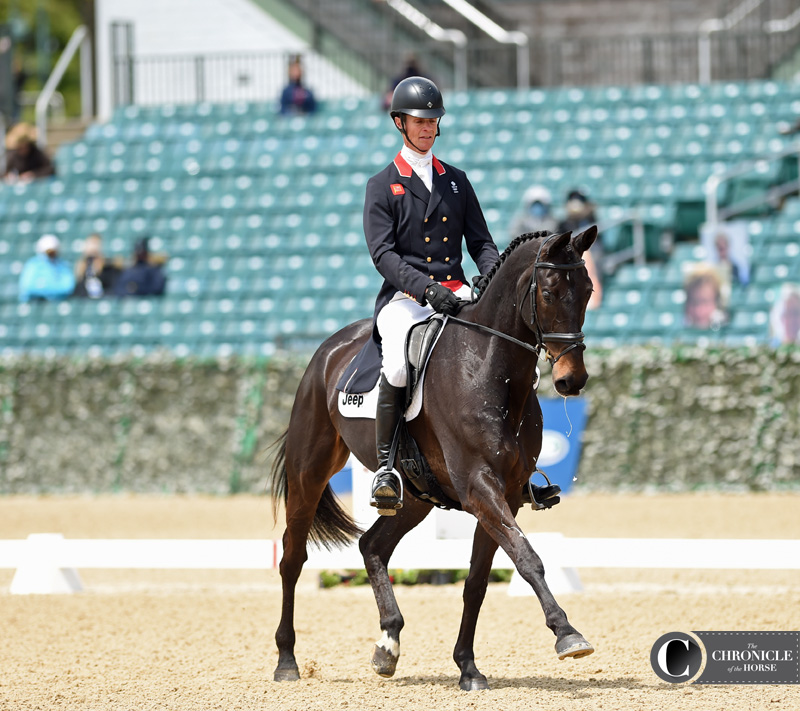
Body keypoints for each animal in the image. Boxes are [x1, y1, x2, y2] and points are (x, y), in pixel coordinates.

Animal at [272, 228, 596, 688]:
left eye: (587, 292)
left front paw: (468, 667)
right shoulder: (479, 486)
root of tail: (332, 347)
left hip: (414, 496)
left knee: (372, 545)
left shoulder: (507, 493)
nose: (573, 380)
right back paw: (287, 661)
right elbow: (528, 558)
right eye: (549, 293)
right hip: (310, 470)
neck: (488, 368)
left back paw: (388, 645)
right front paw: (568, 634)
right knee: (292, 558)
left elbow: (478, 581)